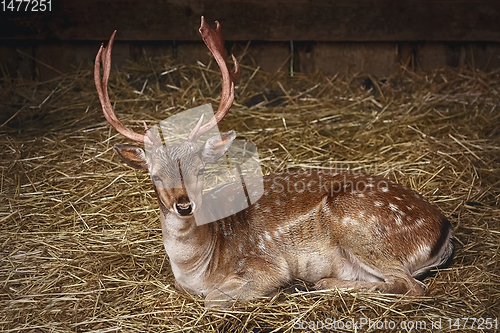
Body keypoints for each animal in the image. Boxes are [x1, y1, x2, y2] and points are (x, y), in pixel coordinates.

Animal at [94, 15, 454, 306]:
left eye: (200, 170)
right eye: (154, 175)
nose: (184, 205)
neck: (197, 267)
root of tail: (445, 229)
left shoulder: (266, 265)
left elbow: (214, 298)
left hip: (358, 225)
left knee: (410, 286)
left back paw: (313, 284)